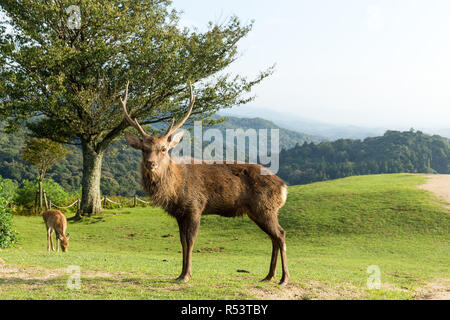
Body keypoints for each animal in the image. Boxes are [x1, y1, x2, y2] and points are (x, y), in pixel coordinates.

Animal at [120, 82, 288, 284]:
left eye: (163, 149)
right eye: (143, 149)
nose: (150, 164)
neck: (175, 189)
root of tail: (284, 187)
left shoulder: (195, 206)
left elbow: (190, 241)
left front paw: (187, 275)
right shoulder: (180, 214)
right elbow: (182, 242)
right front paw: (180, 274)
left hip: (265, 208)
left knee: (280, 234)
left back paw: (284, 278)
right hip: (257, 211)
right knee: (273, 237)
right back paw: (268, 276)